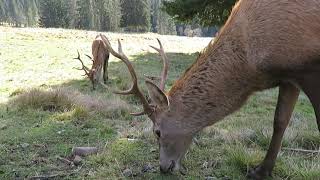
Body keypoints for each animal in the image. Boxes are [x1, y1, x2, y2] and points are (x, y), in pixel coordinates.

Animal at [102, 0, 320, 179]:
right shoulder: (288, 78)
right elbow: (279, 122)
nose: (163, 168)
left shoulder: (308, 68)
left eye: (157, 132)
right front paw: (261, 171)